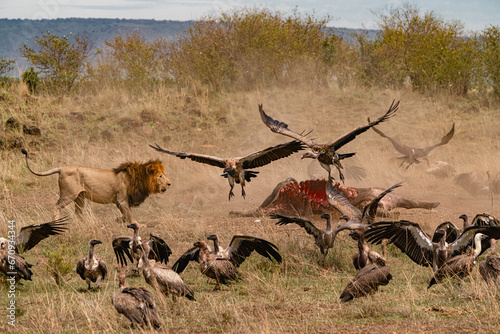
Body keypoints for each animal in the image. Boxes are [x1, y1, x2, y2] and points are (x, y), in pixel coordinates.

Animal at [21, 150, 171, 223]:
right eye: (160, 176)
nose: (169, 184)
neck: (138, 179)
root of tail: (62, 168)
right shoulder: (122, 199)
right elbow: (130, 214)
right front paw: (138, 224)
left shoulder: (119, 202)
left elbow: (125, 214)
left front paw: (119, 220)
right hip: (68, 195)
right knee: (55, 206)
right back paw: (56, 222)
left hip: (79, 197)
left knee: (77, 213)